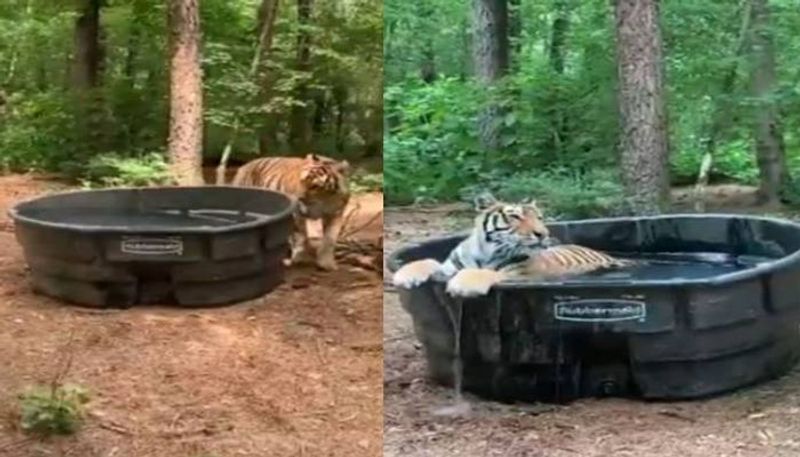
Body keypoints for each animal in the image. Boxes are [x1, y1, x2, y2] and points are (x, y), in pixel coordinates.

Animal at [392, 194, 632, 298]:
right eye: (516, 216)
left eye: (540, 217)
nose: (543, 234)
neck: (485, 251)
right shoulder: (448, 266)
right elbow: (427, 261)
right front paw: (404, 275)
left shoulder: (517, 273)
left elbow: (485, 273)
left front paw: (461, 285)